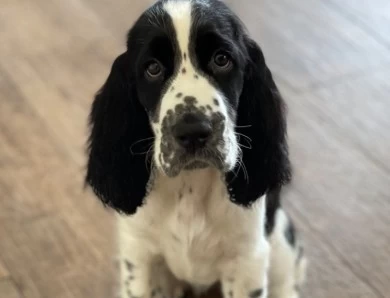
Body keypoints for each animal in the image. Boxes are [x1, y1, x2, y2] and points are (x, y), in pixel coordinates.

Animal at [84, 0, 304, 298]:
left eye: (222, 59)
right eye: (152, 68)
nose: (193, 132)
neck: (190, 186)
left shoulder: (247, 260)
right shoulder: (138, 253)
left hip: (280, 240)